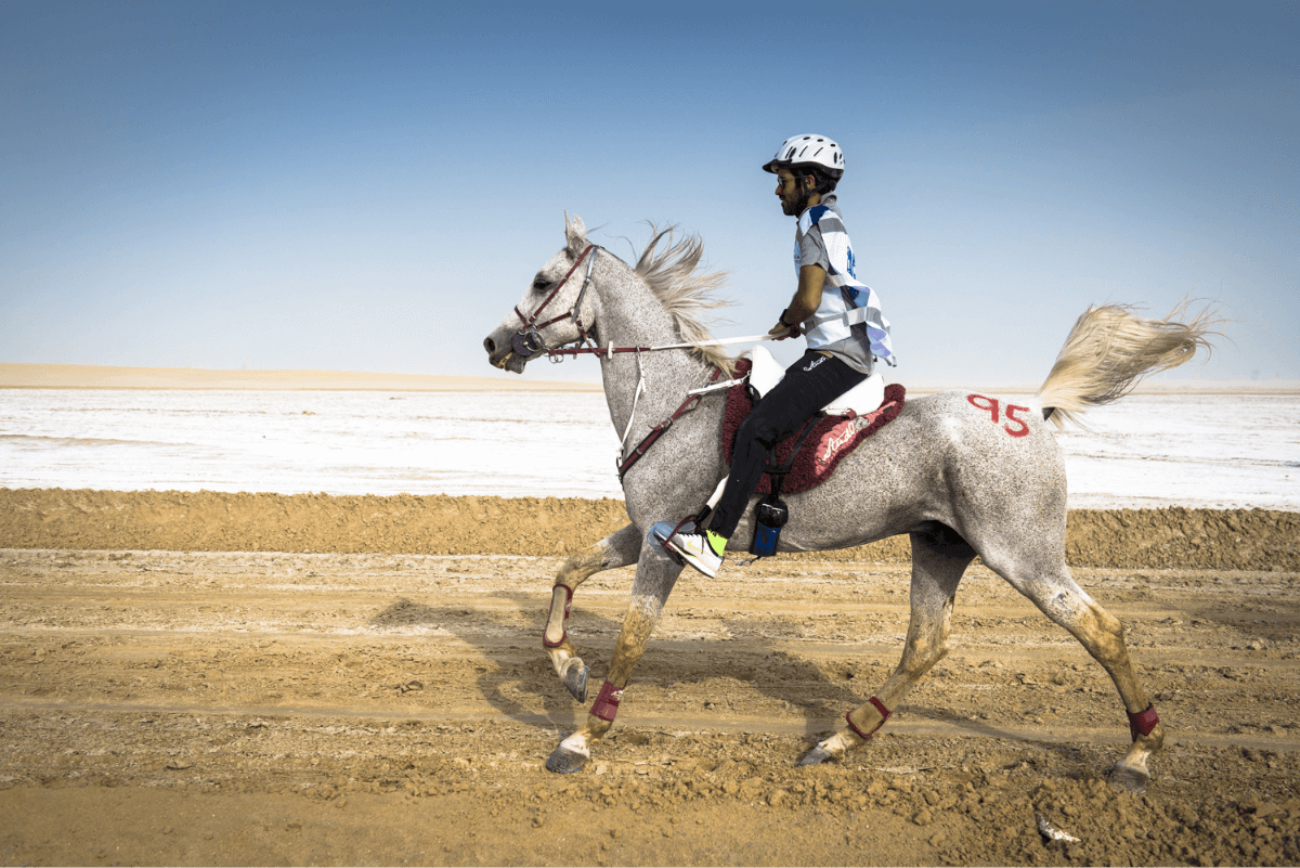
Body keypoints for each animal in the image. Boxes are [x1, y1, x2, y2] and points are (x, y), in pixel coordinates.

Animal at [483, 214, 1218, 790]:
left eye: (542, 281)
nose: (493, 343)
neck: (670, 400)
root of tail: (1032, 409)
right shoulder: (651, 531)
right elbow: (566, 571)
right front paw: (568, 668)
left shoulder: (665, 549)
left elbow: (631, 641)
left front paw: (582, 737)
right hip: (941, 547)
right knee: (926, 645)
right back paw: (842, 737)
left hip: (1024, 556)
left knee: (1103, 631)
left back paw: (1138, 756)